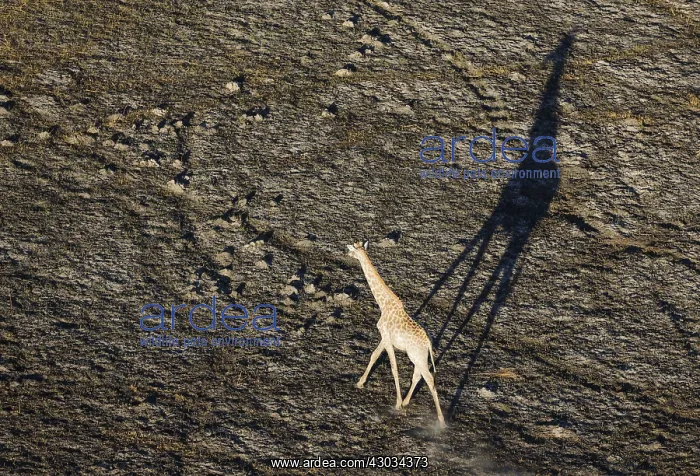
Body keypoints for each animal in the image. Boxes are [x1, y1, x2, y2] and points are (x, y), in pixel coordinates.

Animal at [346, 241, 446, 428]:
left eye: (352, 250)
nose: (347, 254)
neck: (383, 304)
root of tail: (428, 343)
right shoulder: (384, 337)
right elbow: (374, 355)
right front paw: (360, 383)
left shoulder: (387, 339)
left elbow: (393, 368)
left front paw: (397, 404)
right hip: (418, 357)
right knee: (418, 375)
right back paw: (407, 401)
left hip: (417, 356)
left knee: (429, 379)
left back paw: (441, 421)